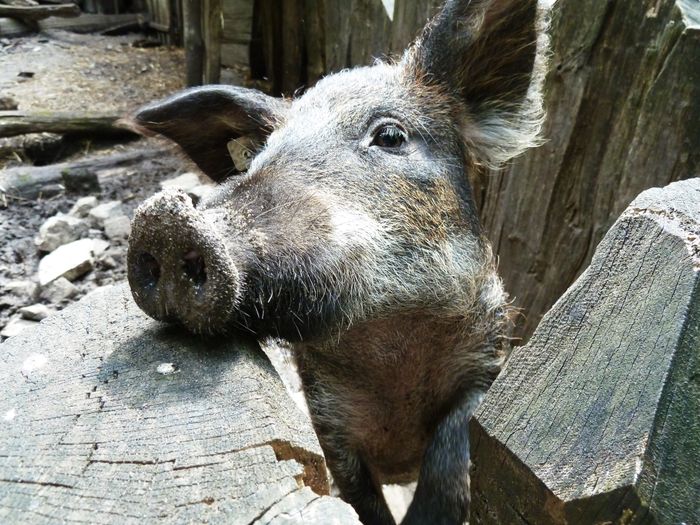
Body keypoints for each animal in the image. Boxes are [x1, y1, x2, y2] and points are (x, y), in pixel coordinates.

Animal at [129, 2, 548, 520]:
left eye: (390, 135)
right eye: (258, 155)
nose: (165, 219)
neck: (389, 347)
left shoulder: (488, 358)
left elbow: (456, 442)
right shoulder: (327, 415)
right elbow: (356, 496)